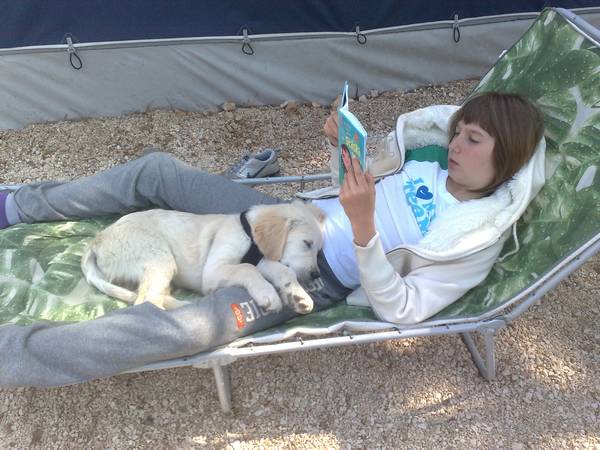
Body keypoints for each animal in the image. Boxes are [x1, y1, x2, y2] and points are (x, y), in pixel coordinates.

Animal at [80, 201, 325, 314]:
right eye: (307, 243)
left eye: (319, 251)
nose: (316, 275)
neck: (248, 233)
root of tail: (96, 241)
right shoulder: (214, 270)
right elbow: (247, 269)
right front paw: (268, 294)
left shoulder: (264, 259)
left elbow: (284, 270)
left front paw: (297, 295)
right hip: (158, 257)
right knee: (146, 301)